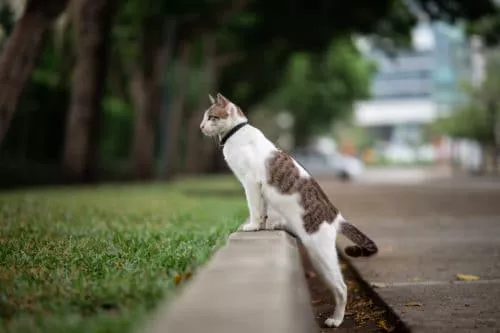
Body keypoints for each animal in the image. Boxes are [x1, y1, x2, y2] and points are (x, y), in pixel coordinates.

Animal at [201, 92, 376, 326]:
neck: (236, 133)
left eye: (211, 117)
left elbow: (254, 207)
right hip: (318, 260)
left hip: (322, 254)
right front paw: (264, 224)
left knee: (342, 288)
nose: (201, 126)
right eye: (205, 117)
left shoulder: (251, 183)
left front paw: (253, 226)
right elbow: (263, 210)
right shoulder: (260, 189)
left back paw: (336, 320)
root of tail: (336, 216)